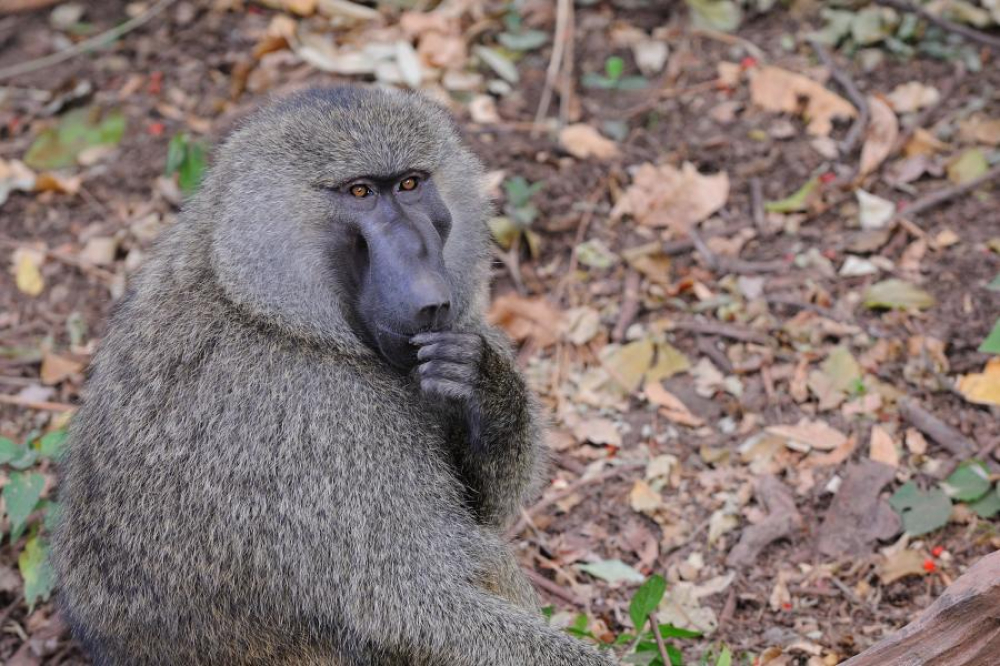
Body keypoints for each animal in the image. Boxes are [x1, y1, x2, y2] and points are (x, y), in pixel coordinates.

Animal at [52, 86, 616, 666]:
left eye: (410, 184)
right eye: (360, 192)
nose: (428, 294)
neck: (258, 302)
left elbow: (485, 506)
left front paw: (480, 382)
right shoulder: (317, 415)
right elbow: (407, 606)